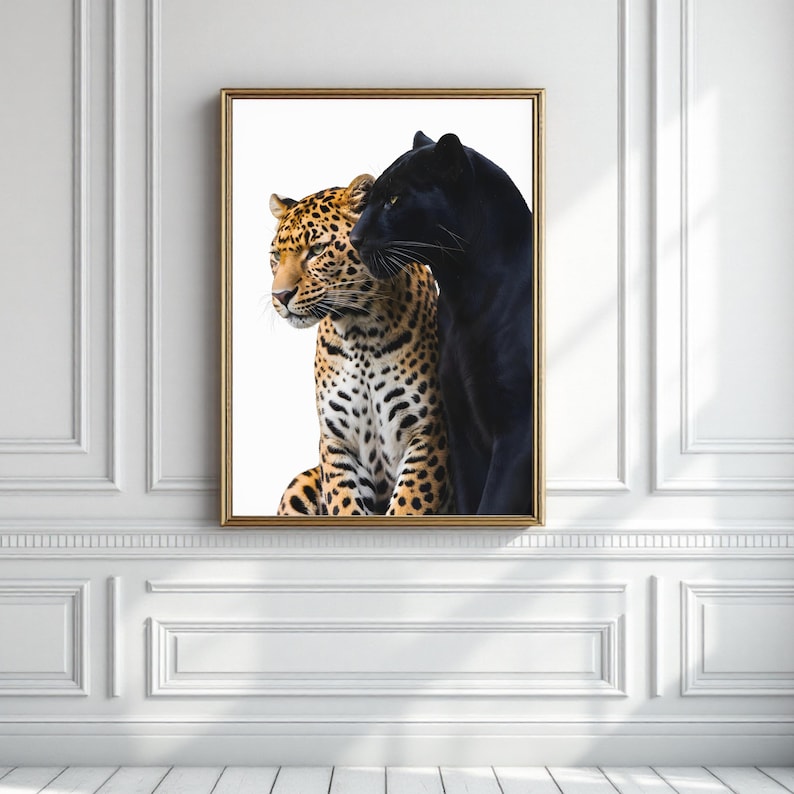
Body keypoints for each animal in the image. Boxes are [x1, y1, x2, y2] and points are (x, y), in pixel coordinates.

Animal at [268, 174, 452, 517]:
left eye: (317, 249)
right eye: (275, 256)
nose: (280, 296)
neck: (360, 333)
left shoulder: (429, 433)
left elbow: (409, 505)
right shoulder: (337, 442)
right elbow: (344, 503)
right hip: (299, 485)